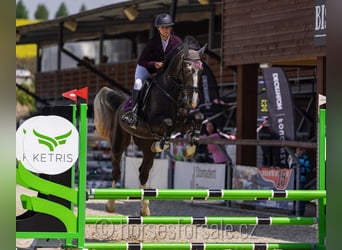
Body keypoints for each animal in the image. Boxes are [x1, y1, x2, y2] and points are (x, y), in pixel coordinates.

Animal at [93, 40, 206, 215]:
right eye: (188, 70)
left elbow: (198, 117)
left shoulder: (182, 123)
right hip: (119, 142)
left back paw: (145, 209)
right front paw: (164, 143)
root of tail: (121, 105)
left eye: (201, 71)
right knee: (116, 170)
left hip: (145, 145)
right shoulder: (154, 122)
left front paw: (190, 148)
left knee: (143, 173)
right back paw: (111, 205)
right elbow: (168, 122)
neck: (173, 91)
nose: (192, 101)